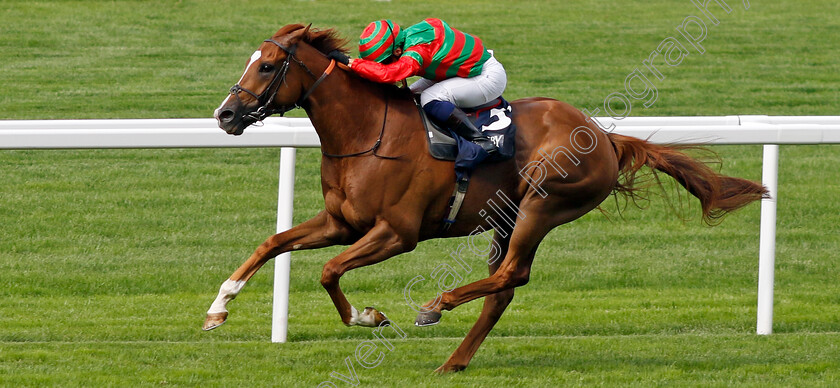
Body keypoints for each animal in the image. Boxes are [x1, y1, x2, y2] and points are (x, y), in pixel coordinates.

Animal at [205, 25, 768, 372]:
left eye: (267, 66)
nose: (225, 116)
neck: (367, 132)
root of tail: (605, 136)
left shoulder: (397, 233)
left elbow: (328, 271)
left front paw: (369, 317)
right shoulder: (341, 222)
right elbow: (272, 243)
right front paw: (218, 309)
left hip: (543, 202)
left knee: (511, 274)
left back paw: (436, 305)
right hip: (508, 216)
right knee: (504, 287)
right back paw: (454, 360)